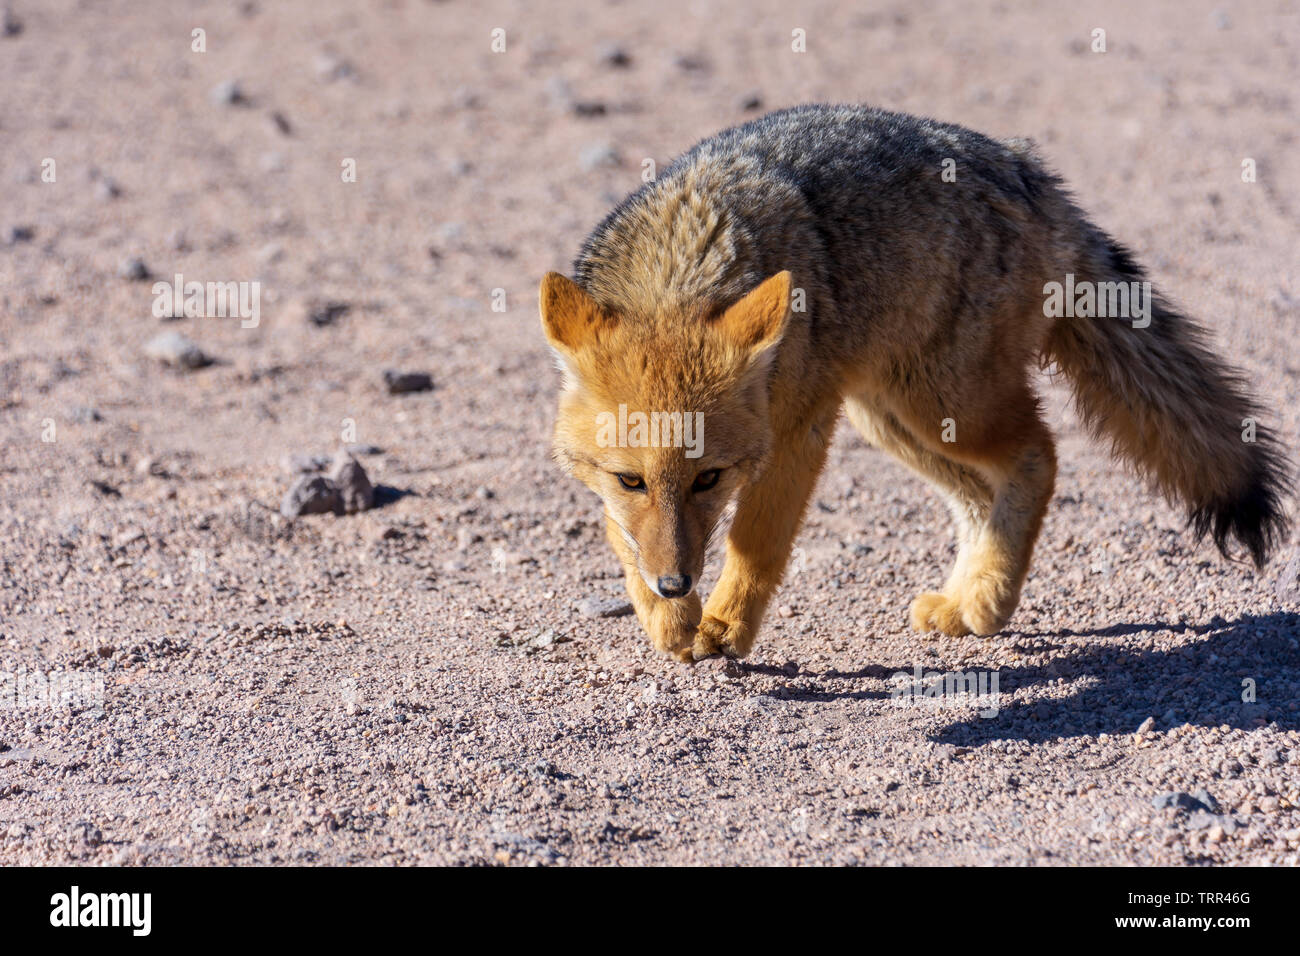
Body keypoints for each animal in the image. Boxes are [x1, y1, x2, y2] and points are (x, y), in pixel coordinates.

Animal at [539, 104, 1293, 663]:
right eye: (630, 480)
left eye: (709, 479)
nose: (676, 583)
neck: (681, 262)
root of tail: (1029, 169)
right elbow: (623, 536)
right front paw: (668, 619)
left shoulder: (800, 431)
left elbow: (755, 541)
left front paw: (723, 624)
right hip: (893, 417)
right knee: (980, 494)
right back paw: (966, 600)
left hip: (940, 405)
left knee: (1039, 453)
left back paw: (989, 601)